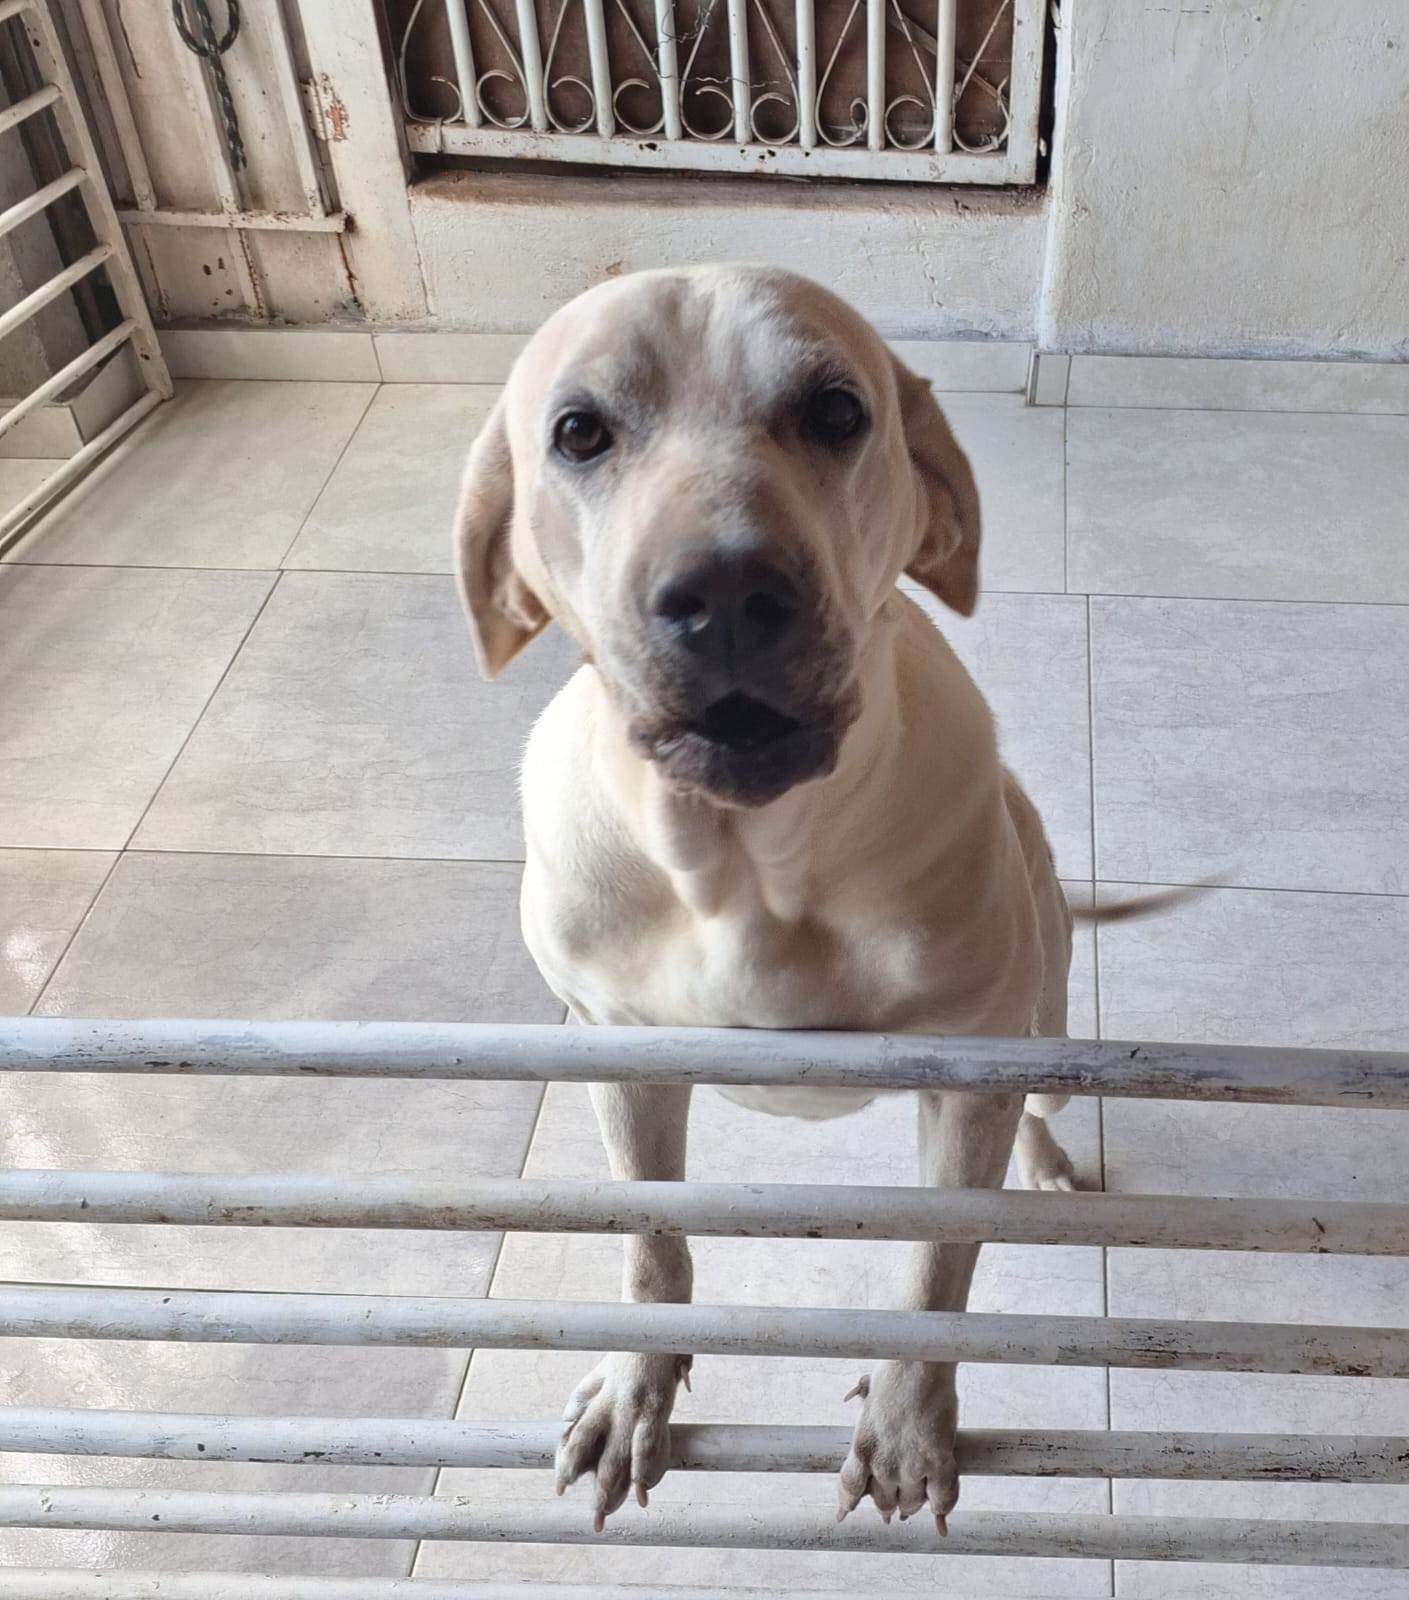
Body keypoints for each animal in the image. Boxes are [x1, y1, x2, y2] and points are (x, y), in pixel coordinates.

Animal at [454, 263, 1108, 1536]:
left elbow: (936, 1265)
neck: (746, 871)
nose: (723, 590)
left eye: (834, 411)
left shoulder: (966, 1081)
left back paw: (1048, 1162)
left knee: (1041, 1103)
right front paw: (637, 1382)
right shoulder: (621, 1058)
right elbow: (650, 1241)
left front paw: (905, 1418)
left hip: (1044, 1023)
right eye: (578, 432)